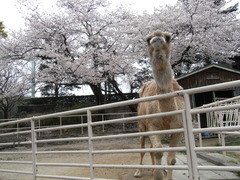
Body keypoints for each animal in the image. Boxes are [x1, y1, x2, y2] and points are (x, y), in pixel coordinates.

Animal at [134, 30, 185, 179]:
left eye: (168, 37)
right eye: (147, 39)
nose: (157, 35)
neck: (167, 115)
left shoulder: (178, 129)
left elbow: (171, 159)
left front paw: (164, 173)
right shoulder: (153, 126)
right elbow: (158, 152)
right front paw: (158, 175)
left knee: (151, 149)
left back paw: (154, 169)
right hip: (141, 125)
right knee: (143, 148)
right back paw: (138, 171)